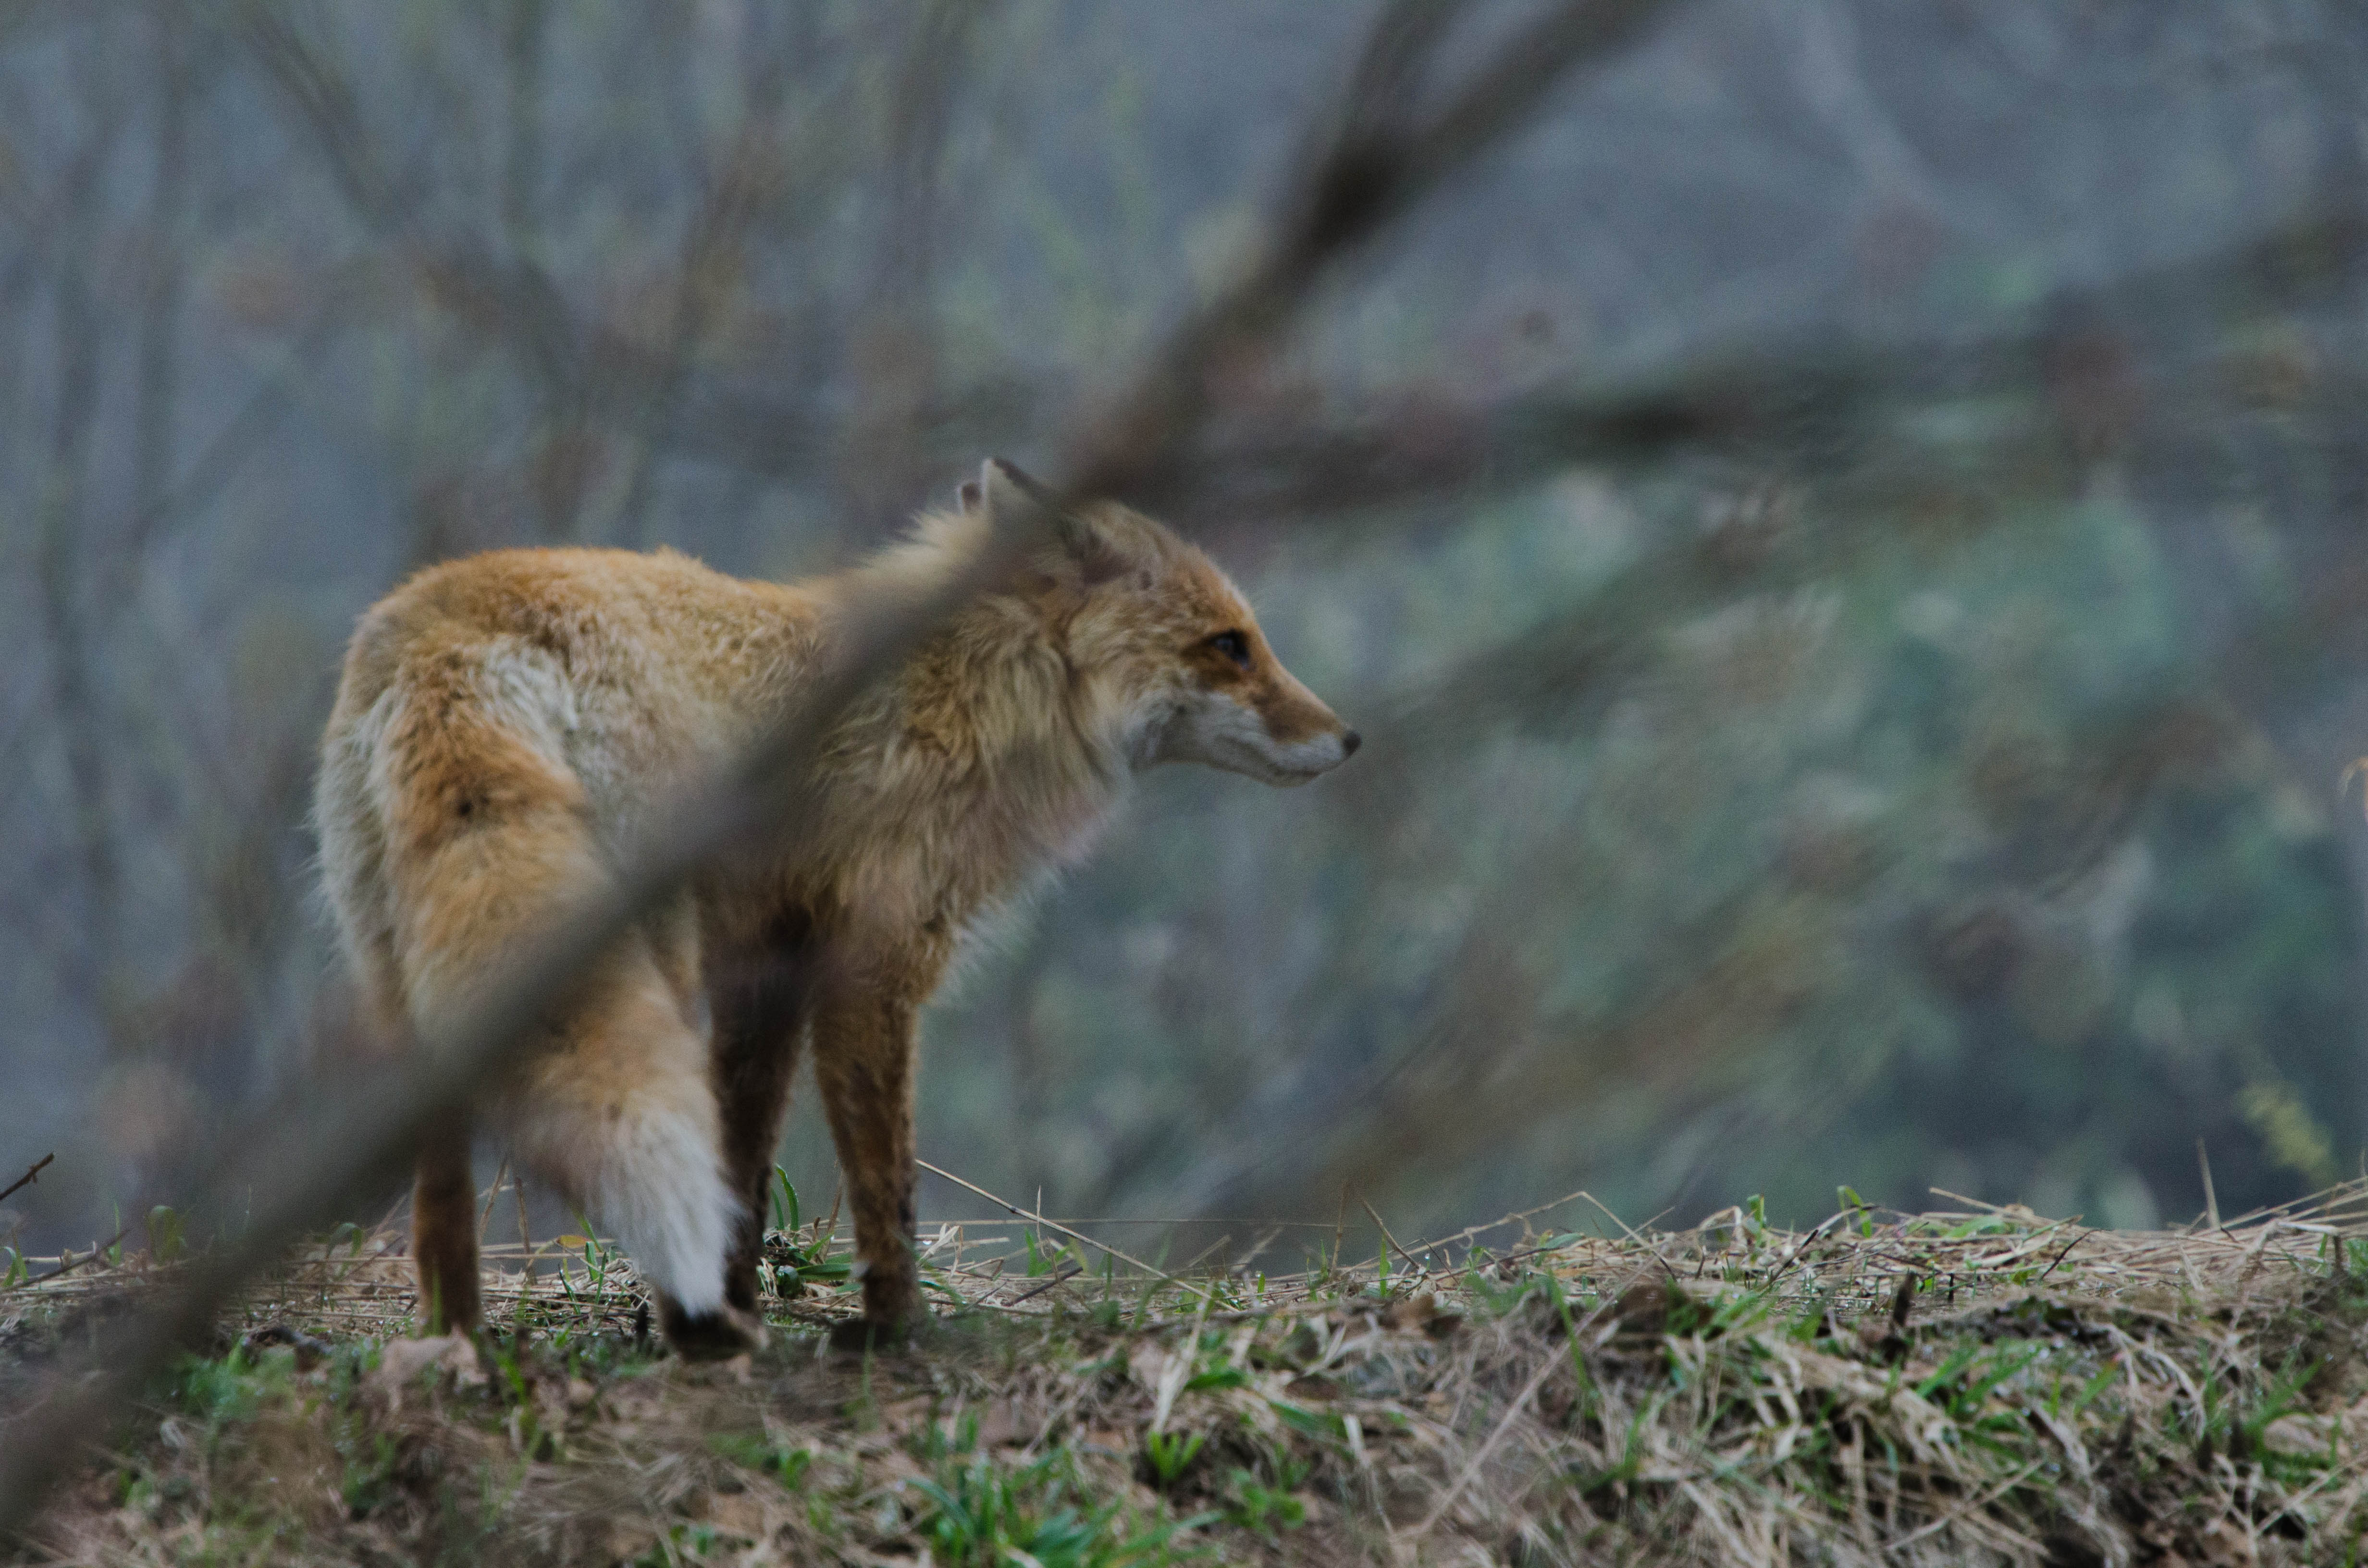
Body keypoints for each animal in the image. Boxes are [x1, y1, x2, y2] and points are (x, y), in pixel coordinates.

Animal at [314, 458, 1358, 1355]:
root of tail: (451, 617)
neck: (969, 684)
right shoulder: (872, 958)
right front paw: (893, 1329)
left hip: (409, 974)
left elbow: (741, 1154)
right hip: (634, 962)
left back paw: (461, 1347)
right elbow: (883, 1183)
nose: (1350, 739)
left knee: (438, 1199)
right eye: (1228, 645)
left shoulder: (769, 963)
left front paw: (733, 1299)